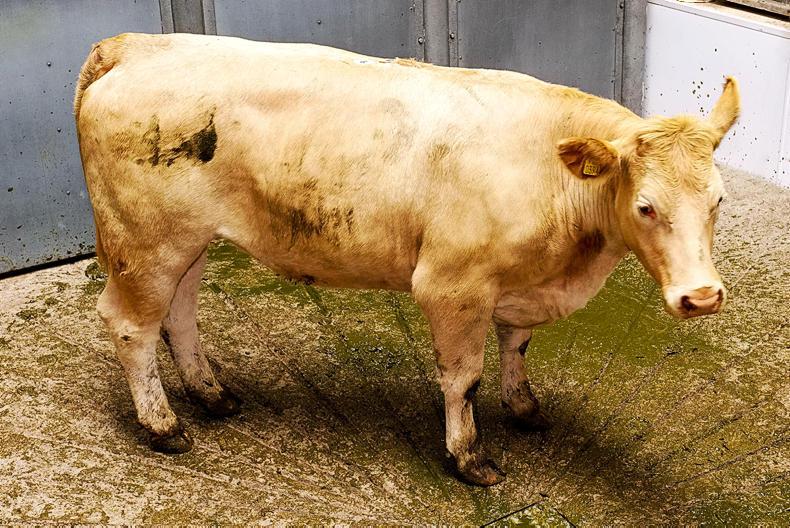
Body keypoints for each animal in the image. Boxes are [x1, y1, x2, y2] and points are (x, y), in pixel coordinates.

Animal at [74, 33, 739, 486]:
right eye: (646, 206)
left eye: (718, 199)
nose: (703, 297)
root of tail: (135, 45)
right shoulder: (452, 284)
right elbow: (463, 377)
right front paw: (469, 457)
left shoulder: (518, 284)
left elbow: (517, 345)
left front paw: (523, 406)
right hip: (145, 242)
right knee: (132, 325)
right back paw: (164, 427)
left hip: (186, 242)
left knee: (179, 314)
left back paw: (213, 395)